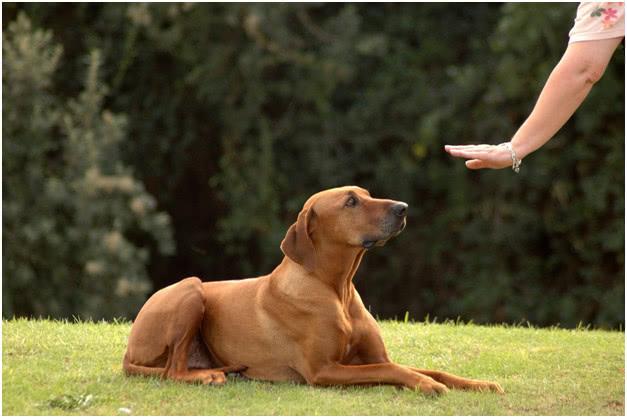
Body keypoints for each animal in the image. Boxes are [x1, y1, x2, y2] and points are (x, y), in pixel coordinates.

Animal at [124, 186, 506, 396]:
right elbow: (394, 371)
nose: (403, 208)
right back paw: (208, 376)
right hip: (191, 287)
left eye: (367, 194)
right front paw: (426, 385)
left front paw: (480, 384)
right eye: (350, 202)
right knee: (172, 371)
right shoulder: (324, 370)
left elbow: (428, 369)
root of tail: (128, 351)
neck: (337, 289)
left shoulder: (375, 357)